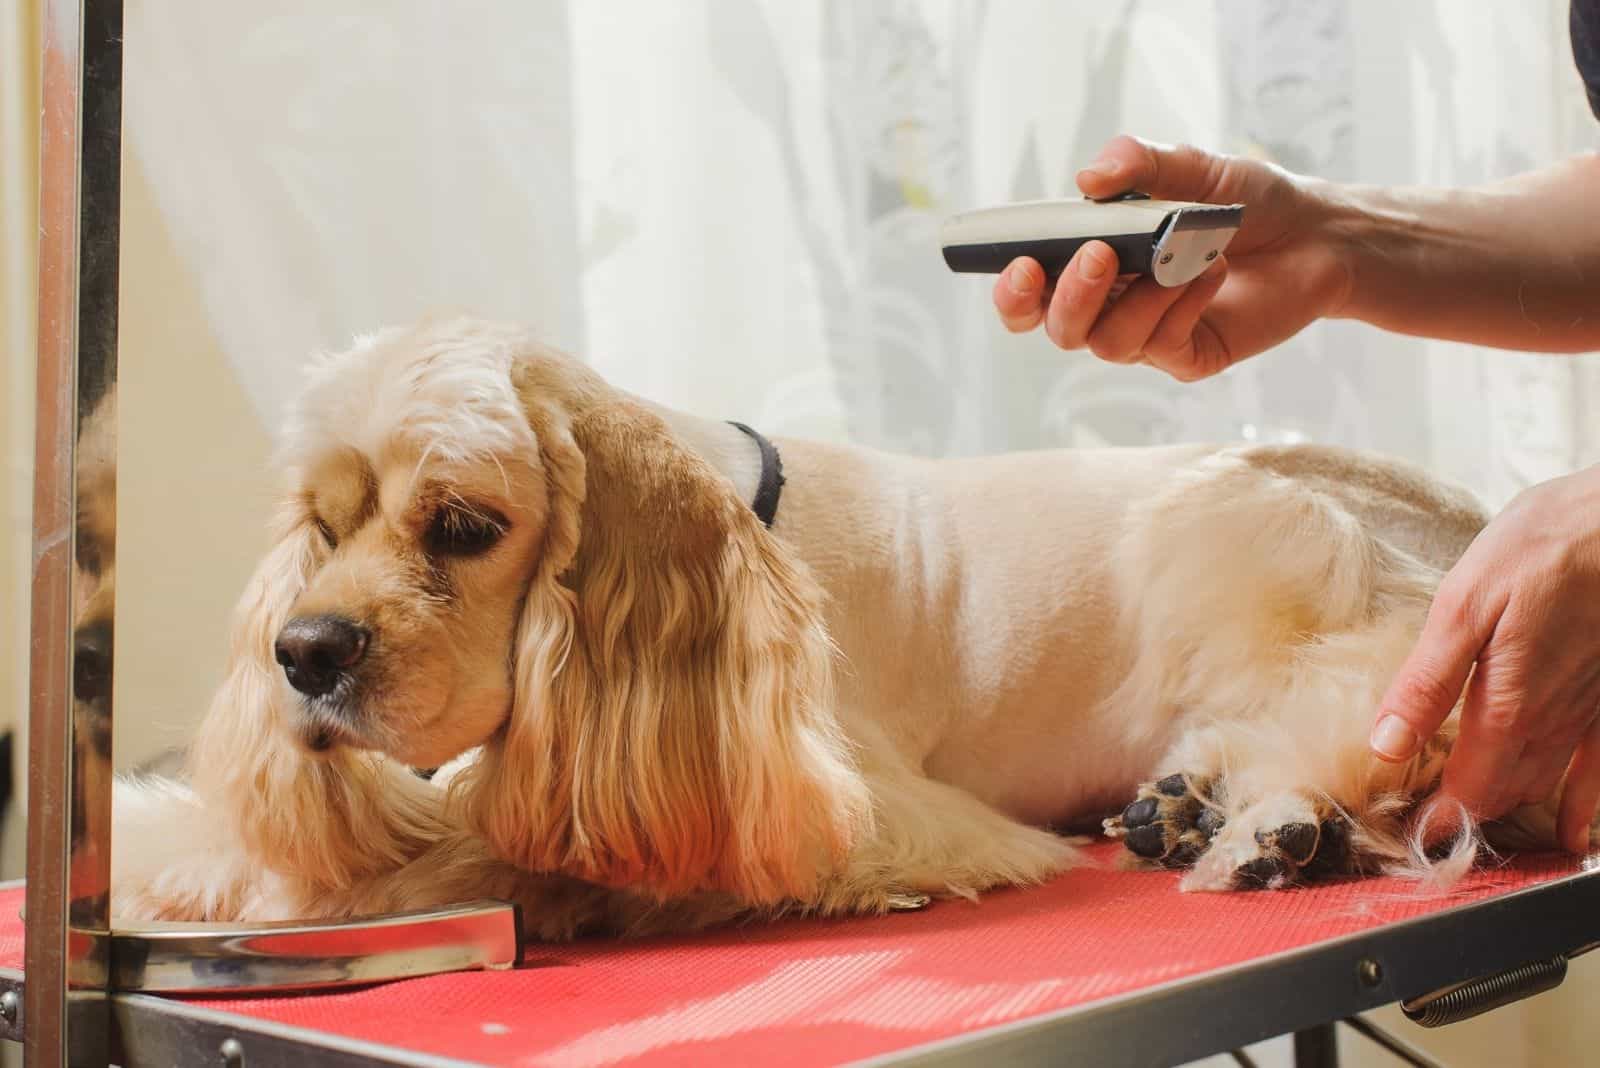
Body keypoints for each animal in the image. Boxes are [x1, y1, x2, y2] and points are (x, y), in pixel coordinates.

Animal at [118, 316, 1568, 933]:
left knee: (1364, 721)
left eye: (465, 527)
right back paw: (1195, 810)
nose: (302, 654)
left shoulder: (862, 815)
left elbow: (487, 838)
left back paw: (1268, 831)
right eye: (321, 527)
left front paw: (226, 870)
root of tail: (1446, 519)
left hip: (1237, 539)